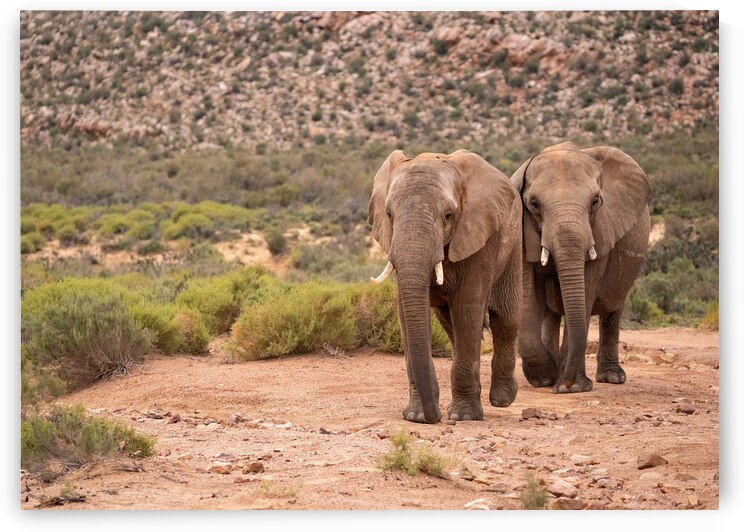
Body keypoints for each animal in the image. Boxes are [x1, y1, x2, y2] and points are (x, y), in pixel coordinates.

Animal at [368, 149, 522, 424]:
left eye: (448, 216)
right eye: (389, 214)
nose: (435, 418)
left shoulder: (479, 235)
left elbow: (468, 306)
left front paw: (463, 416)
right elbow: (405, 313)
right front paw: (416, 416)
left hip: (513, 245)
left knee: (505, 318)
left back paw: (502, 399)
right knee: (450, 324)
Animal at [510, 142, 651, 393]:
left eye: (595, 202)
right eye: (534, 204)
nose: (562, 381)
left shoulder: (601, 229)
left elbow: (585, 288)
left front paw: (570, 388)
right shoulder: (524, 231)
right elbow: (528, 295)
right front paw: (545, 378)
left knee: (612, 312)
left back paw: (611, 378)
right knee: (552, 315)